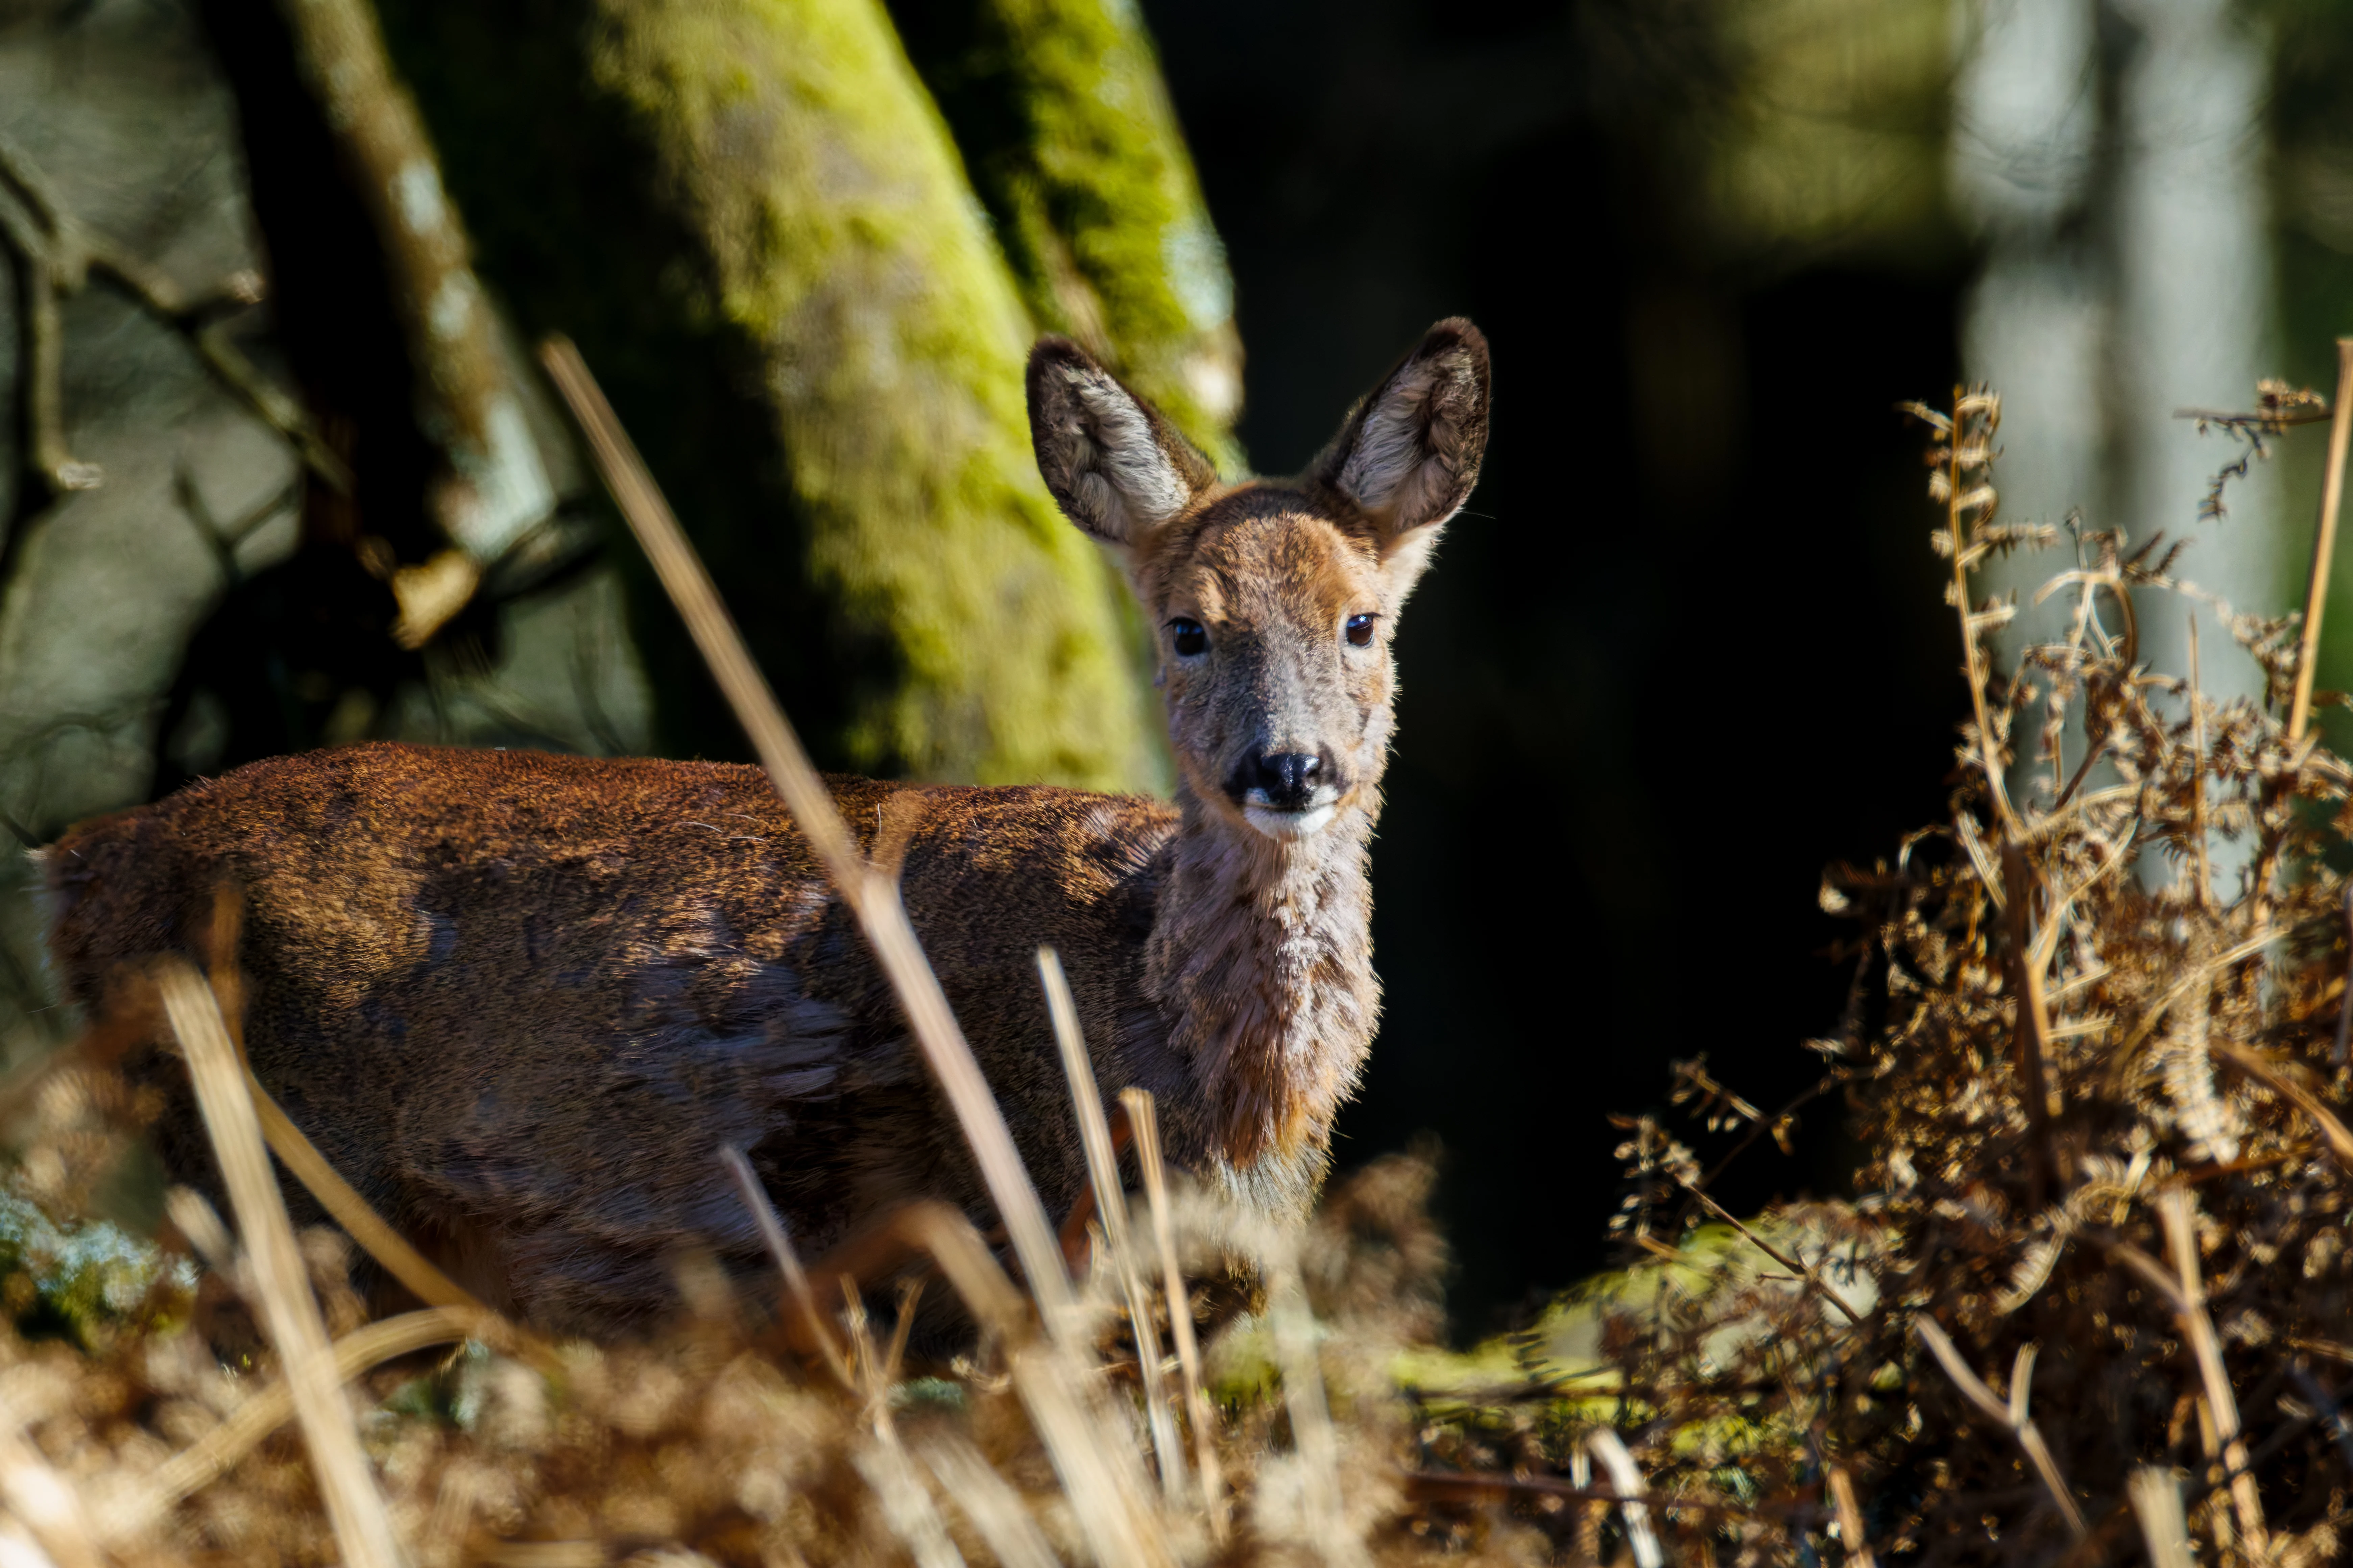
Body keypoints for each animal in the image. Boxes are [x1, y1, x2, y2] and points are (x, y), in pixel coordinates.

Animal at [42, 318, 1491, 1332]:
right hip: (279, 1176)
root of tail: (80, 862)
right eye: (1188, 626)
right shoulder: (1011, 1223)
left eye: (1360, 621)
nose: (1288, 765)